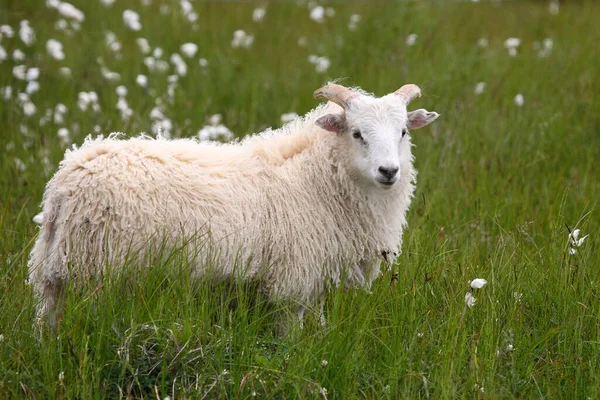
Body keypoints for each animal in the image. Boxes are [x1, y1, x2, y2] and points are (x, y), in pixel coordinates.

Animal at [28, 81, 438, 328]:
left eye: (403, 132)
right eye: (356, 133)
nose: (389, 171)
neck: (315, 178)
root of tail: (66, 180)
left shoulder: (316, 280)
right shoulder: (293, 280)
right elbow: (289, 337)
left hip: (56, 275)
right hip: (98, 270)